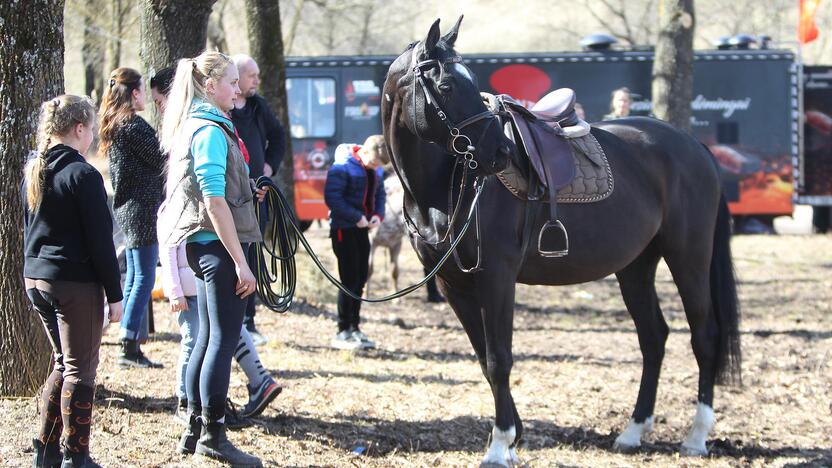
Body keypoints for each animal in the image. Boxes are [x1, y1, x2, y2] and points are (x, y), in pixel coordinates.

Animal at [382, 16, 740, 466]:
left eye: (472, 81)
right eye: (446, 86)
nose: (501, 152)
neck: (445, 186)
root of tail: (696, 147)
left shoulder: (497, 278)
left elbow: (499, 359)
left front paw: (500, 444)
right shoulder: (452, 285)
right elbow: (484, 358)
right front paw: (512, 436)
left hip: (688, 258)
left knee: (704, 336)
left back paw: (695, 437)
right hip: (636, 267)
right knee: (653, 338)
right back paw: (633, 431)